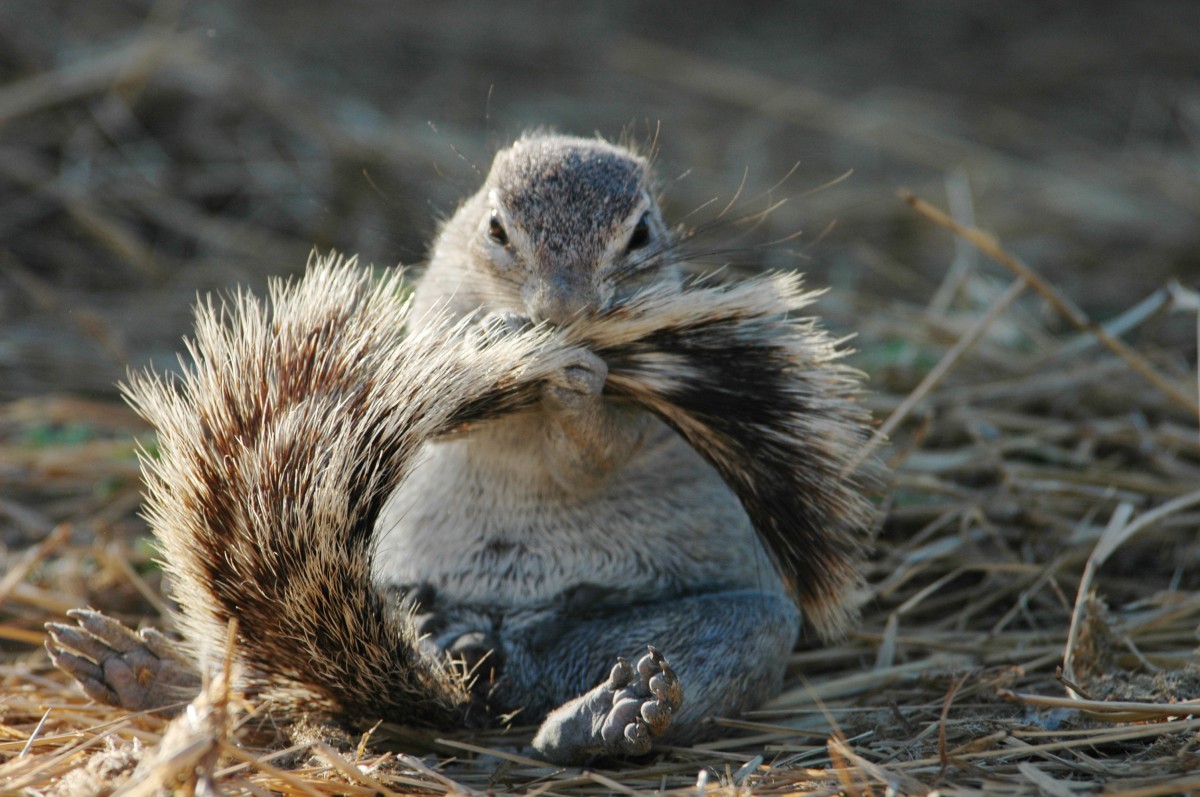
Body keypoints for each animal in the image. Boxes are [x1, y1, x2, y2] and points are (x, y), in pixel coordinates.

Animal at [46, 133, 878, 763]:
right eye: (496, 227)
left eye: (641, 232)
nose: (563, 309)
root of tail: (486, 664)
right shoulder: (429, 323)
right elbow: (444, 393)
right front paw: (503, 337)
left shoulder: (639, 418)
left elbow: (604, 442)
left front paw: (581, 382)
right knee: (263, 671)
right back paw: (145, 674)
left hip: (695, 625)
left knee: (712, 645)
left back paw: (616, 713)